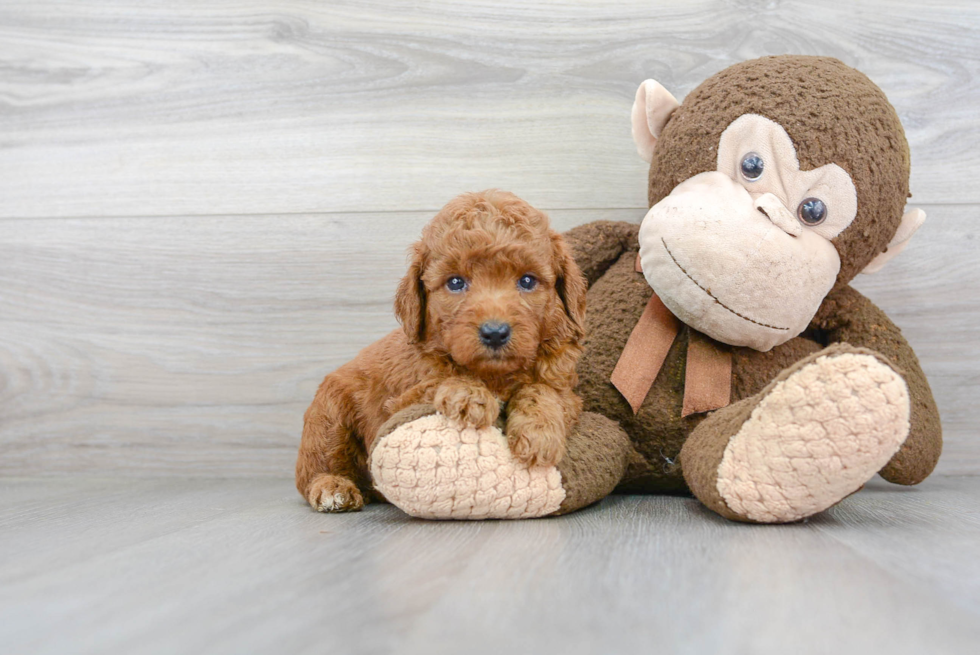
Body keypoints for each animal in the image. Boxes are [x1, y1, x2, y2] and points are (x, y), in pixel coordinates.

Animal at [298, 190, 584, 512]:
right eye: (456, 282)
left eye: (527, 280)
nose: (495, 332)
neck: (494, 375)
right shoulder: (400, 401)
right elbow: (441, 380)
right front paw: (469, 395)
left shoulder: (565, 390)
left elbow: (542, 390)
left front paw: (539, 433)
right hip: (329, 418)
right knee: (316, 468)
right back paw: (333, 488)